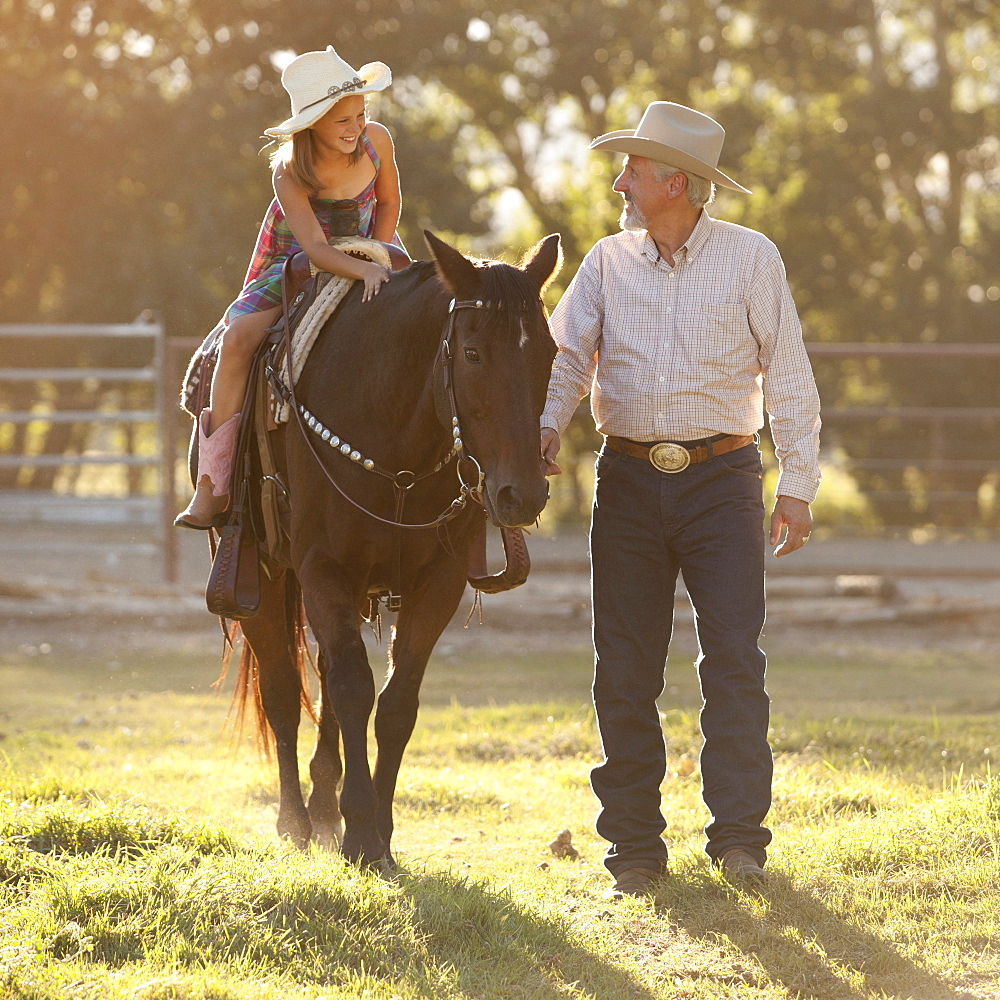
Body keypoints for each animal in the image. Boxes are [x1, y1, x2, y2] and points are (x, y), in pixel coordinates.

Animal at [234, 229, 564, 868]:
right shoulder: (324, 571)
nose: (522, 494)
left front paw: (378, 834)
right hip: (261, 576)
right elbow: (352, 691)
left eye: (551, 353)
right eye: (473, 353)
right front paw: (361, 832)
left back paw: (322, 808)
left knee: (324, 675)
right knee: (283, 688)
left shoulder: (438, 584)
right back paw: (295, 821)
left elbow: (395, 703)